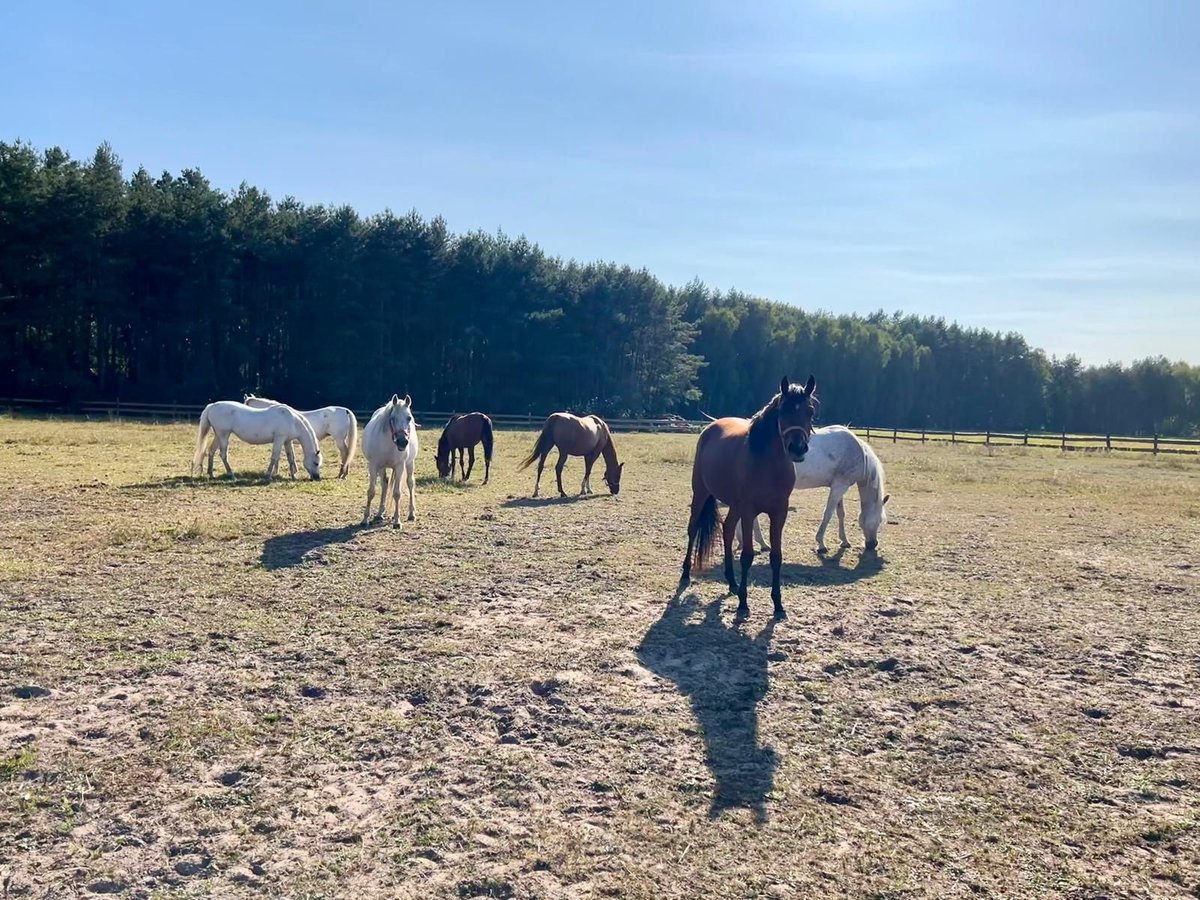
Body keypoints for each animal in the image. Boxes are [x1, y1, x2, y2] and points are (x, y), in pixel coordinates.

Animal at [189, 403, 319, 482]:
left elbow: (291, 458)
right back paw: (231, 475)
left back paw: (211, 474)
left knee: (211, 451)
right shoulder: (279, 439)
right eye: (316, 463)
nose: (317, 478)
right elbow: (274, 457)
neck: (292, 419)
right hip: (223, 434)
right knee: (223, 454)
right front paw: (268, 476)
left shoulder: (287, 441)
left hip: (218, 435)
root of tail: (212, 406)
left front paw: (293, 476)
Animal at [357, 393, 420, 528]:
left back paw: (411, 514)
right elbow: (371, 492)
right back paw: (380, 513)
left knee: (410, 484)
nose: (403, 442)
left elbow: (397, 493)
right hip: (382, 467)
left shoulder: (400, 466)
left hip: (409, 464)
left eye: (409, 418)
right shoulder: (374, 465)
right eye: (393, 418)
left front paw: (397, 521)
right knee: (384, 485)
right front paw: (365, 519)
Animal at [681, 374, 820, 619]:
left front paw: (778, 604)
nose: (797, 448)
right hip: (701, 493)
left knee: (727, 530)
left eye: (810, 411)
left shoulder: (779, 513)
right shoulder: (749, 511)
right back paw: (686, 573)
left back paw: (732, 582)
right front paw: (744, 603)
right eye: (783, 410)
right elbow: (747, 555)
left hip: (734, 505)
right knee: (693, 528)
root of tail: (710, 427)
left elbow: (776, 556)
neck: (767, 464)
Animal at [734, 427, 888, 554]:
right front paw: (821, 544)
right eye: (879, 520)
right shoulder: (840, 486)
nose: (873, 544)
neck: (857, 452)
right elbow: (828, 513)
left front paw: (844, 541)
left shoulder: (838, 486)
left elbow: (840, 513)